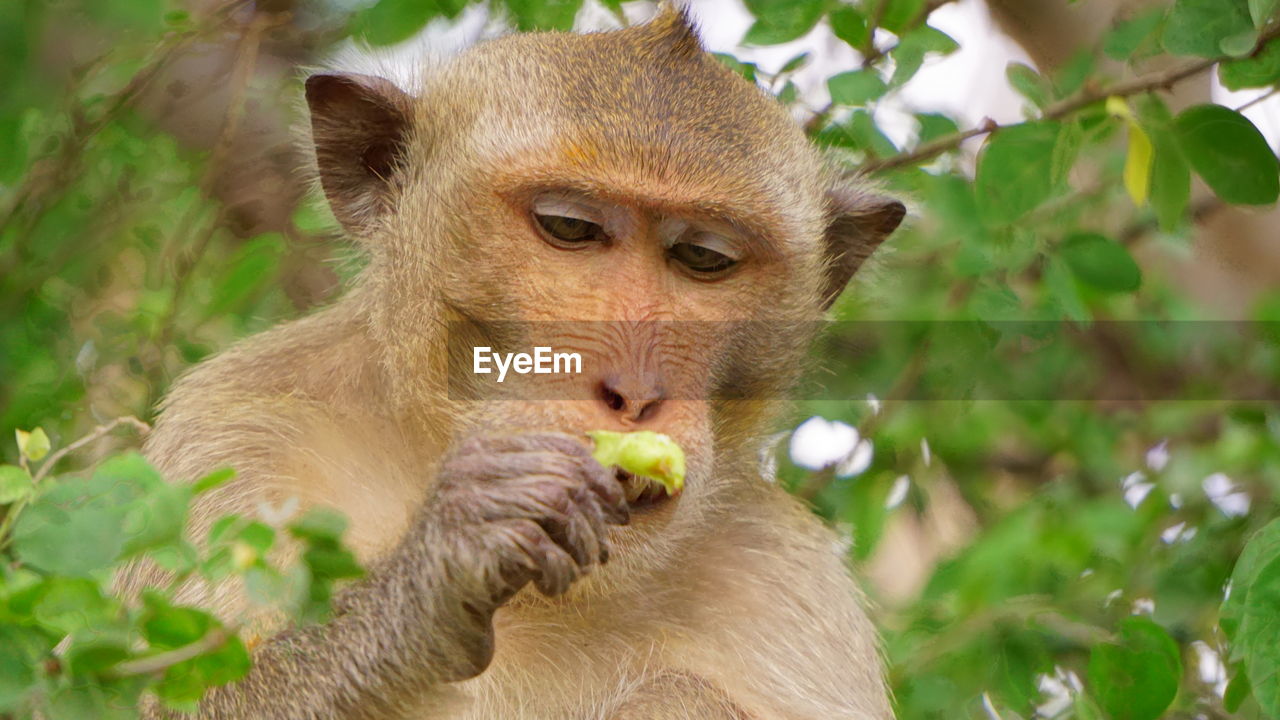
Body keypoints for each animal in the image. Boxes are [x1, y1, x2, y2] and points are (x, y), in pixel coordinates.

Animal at [117, 7, 901, 717]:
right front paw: (442, 566)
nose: (633, 393)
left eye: (703, 258)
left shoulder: (790, 578)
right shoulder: (235, 431)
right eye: (569, 227)